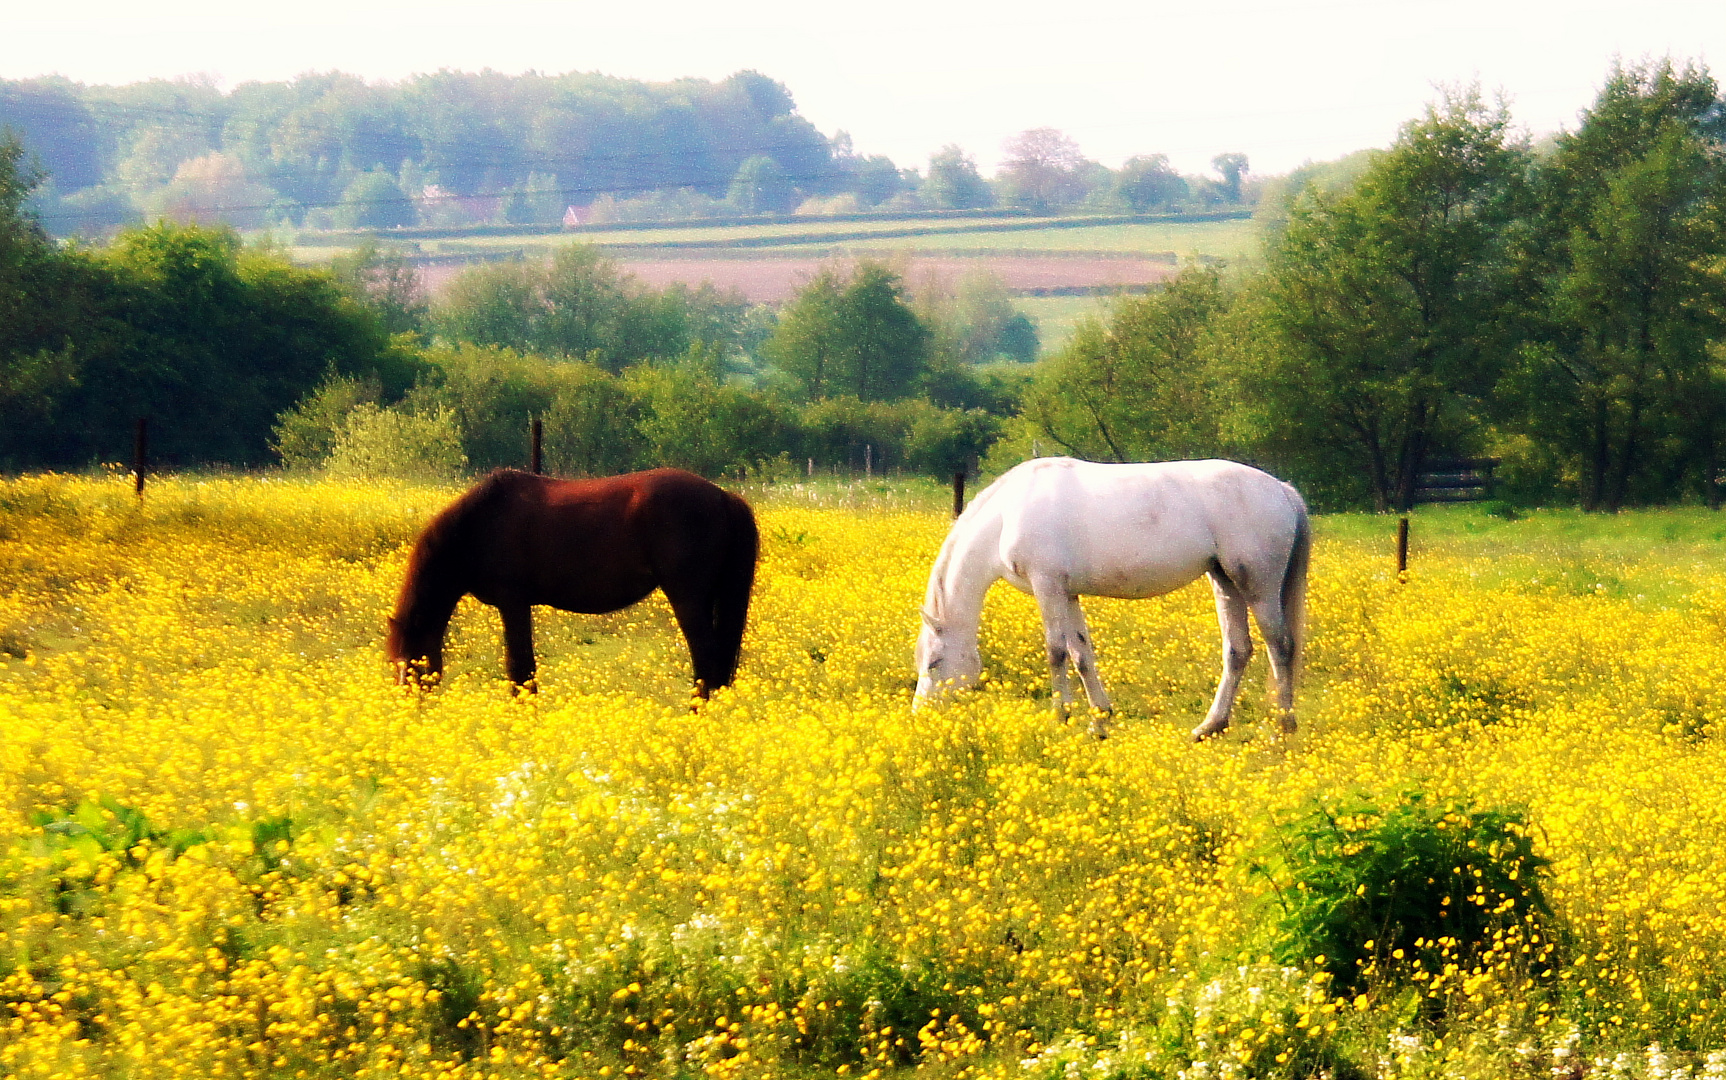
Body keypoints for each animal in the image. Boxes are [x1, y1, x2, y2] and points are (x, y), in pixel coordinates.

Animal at [388, 465, 759, 693]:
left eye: (409, 664)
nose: (411, 709)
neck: (480, 524)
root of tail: (723, 496)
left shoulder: (513, 604)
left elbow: (520, 668)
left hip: (688, 599)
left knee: (706, 661)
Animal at [918, 455, 1304, 738]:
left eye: (935, 663)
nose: (921, 713)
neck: (1006, 514)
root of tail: (1283, 490)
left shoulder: (1048, 587)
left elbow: (1056, 651)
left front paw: (1061, 716)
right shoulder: (1067, 593)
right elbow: (1081, 654)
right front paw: (1099, 720)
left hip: (1257, 585)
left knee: (1280, 646)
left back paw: (1282, 726)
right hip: (1225, 581)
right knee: (1238, 651)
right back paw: (1210, 726)